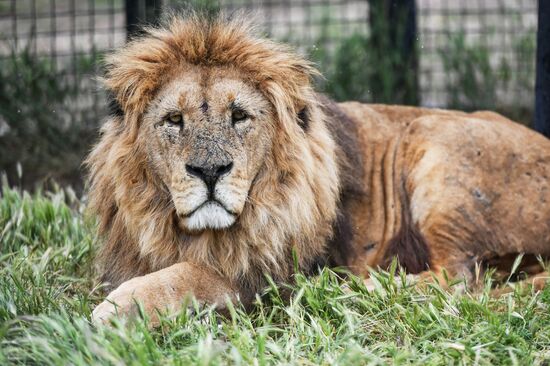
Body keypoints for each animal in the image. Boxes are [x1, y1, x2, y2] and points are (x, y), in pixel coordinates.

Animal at [88, 12, 550, 324]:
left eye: (239, 116)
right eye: (174, 120)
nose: (210, 171)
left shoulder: (262, 275)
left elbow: (189, 274)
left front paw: (116, 310)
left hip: (435, 142)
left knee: (458, 279)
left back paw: (351, 288)